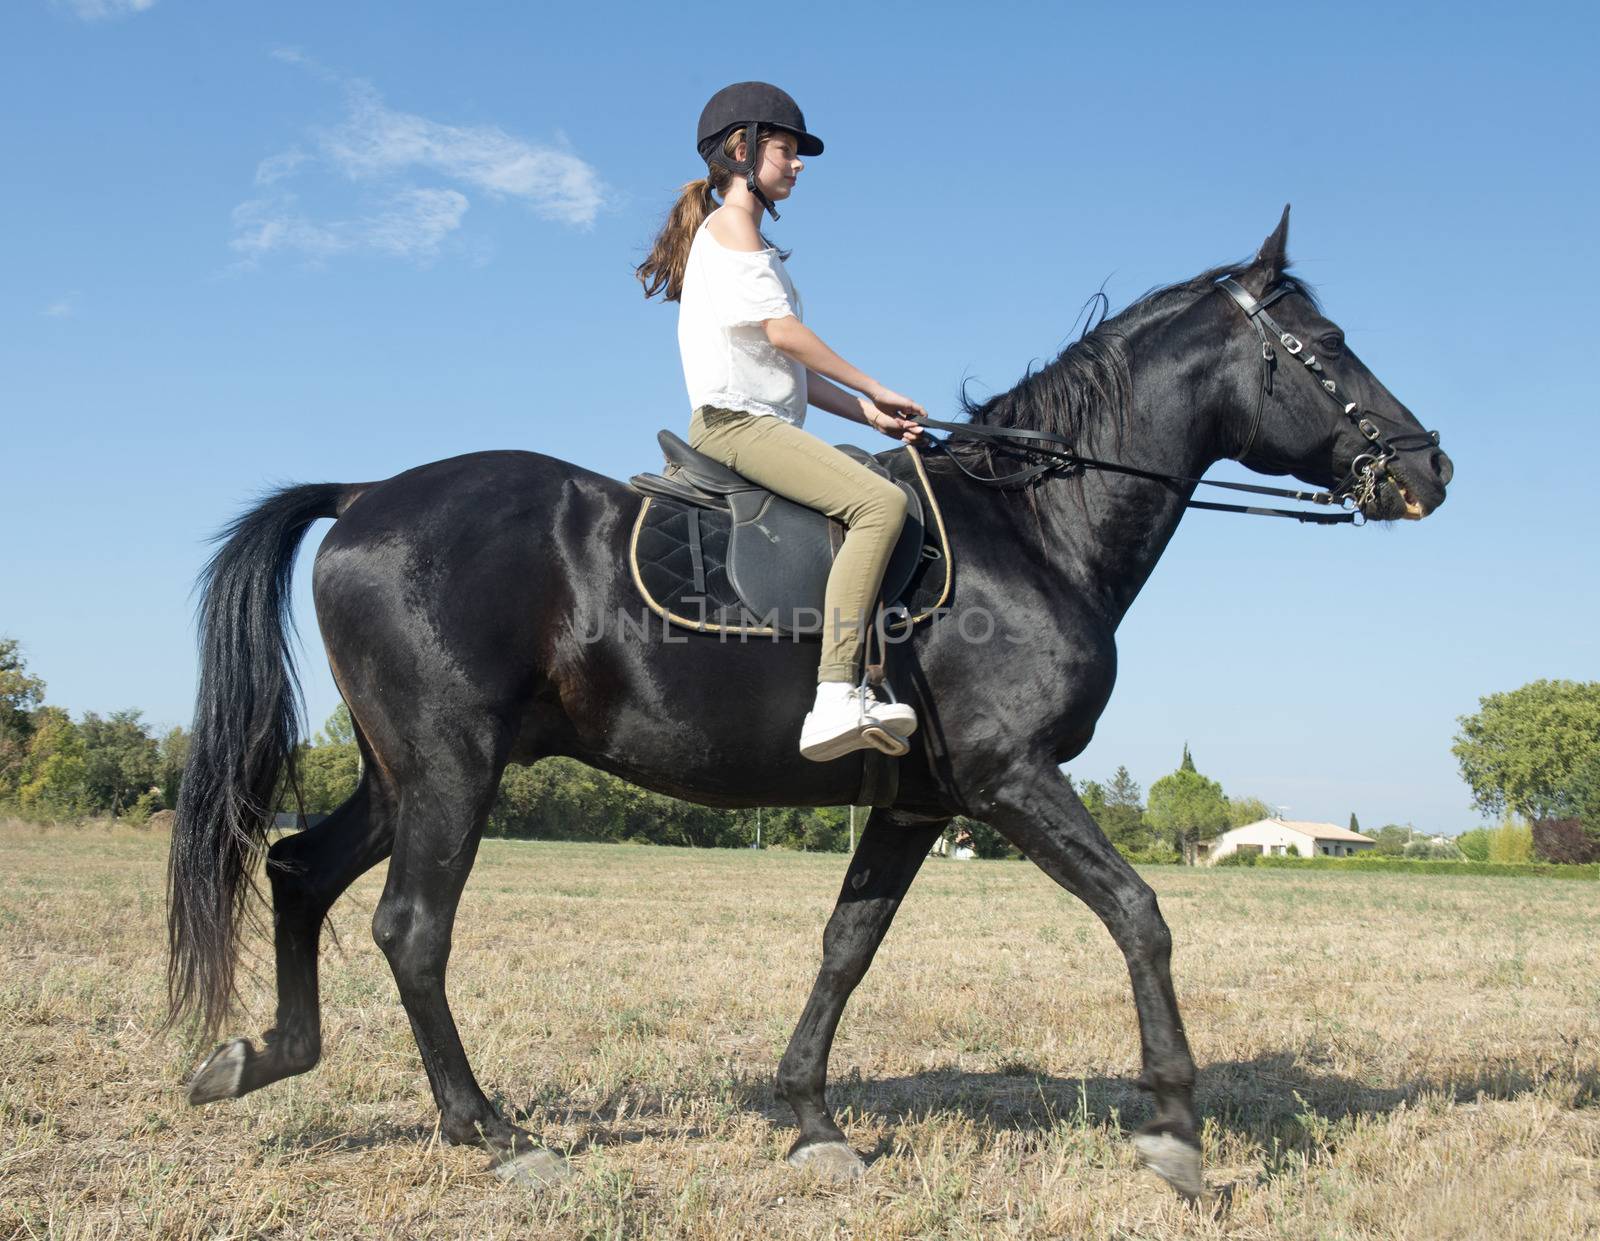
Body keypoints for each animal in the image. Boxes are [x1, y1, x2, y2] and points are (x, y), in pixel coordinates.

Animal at [165, 207, 1452, 1196]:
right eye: (1325, 343)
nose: (1429, 465)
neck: (1030, 527)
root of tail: (365, 494)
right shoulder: (1012, 776)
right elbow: (1140, 912)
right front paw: (1176, 1128)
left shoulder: (917, 803)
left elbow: (847, 945)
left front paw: (811, 1119)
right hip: (449, 768)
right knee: (411, 928)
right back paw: (490, 1130)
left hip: (407, 773)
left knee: (299, 871)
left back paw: (260, 1057)